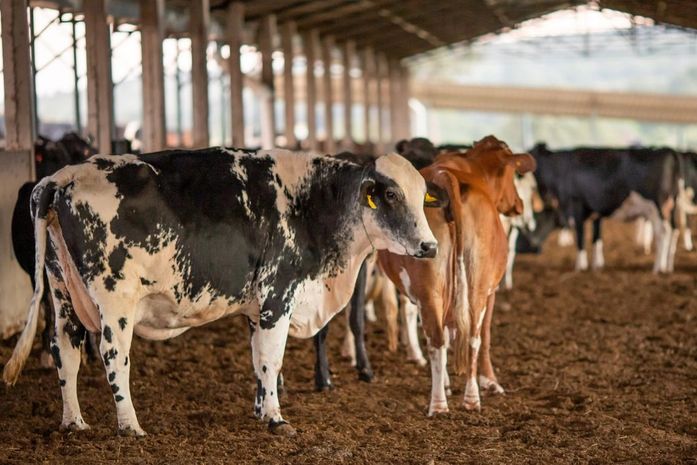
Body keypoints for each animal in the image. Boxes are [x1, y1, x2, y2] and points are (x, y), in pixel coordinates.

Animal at [3, 147, 440, 437]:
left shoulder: (256, 307)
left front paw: (261, 409)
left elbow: (257, 359)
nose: (430, 246)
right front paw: (276, 419)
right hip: (115, 300)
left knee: (65, 350)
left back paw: (74, 422)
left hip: (62, 292)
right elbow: (272, 360)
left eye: (422, 196)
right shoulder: (278, 295)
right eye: (391, 194)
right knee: (113, 355)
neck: (313, 203)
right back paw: (130, 426)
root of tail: (62, 177)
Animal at [378, 136, 536, 415]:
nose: (518, 205)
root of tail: (445, 177)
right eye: (511, 174)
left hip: (434, 290)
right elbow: (486, 335)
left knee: (445, 338)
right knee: (467, 337)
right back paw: (453, 400)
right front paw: (490, 381)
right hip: (474, 288)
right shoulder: (491, 291)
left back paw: (453, 400)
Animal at [530, 144, 681, 273]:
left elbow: (580, 237)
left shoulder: (576, 205)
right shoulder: (596, 212)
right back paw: (668, 266)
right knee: (673, 230)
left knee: (663, 233)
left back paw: (657, 268)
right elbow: (596, 238)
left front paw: (580, 266)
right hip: (671, 206)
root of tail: (666, 149)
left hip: (657, 207)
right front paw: (596, 266)